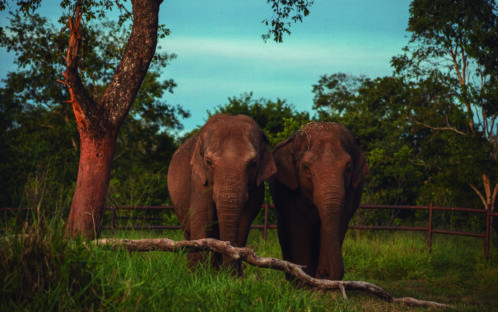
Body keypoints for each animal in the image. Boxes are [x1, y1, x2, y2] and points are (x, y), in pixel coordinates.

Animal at [167, 114, 276, 272]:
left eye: (253, 162)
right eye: (208, 161)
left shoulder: (257, 185)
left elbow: (245, 219)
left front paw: (231, 276)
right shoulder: (198, 178)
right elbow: (203, 216)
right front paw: (198, 275)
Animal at [268, 122, 370, 280]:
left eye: (348, 167)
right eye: (306, 168)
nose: (324, 272)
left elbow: (336, 225)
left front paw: (322, 282)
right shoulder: (288, 194)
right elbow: (299, 228)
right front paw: (304, 280)